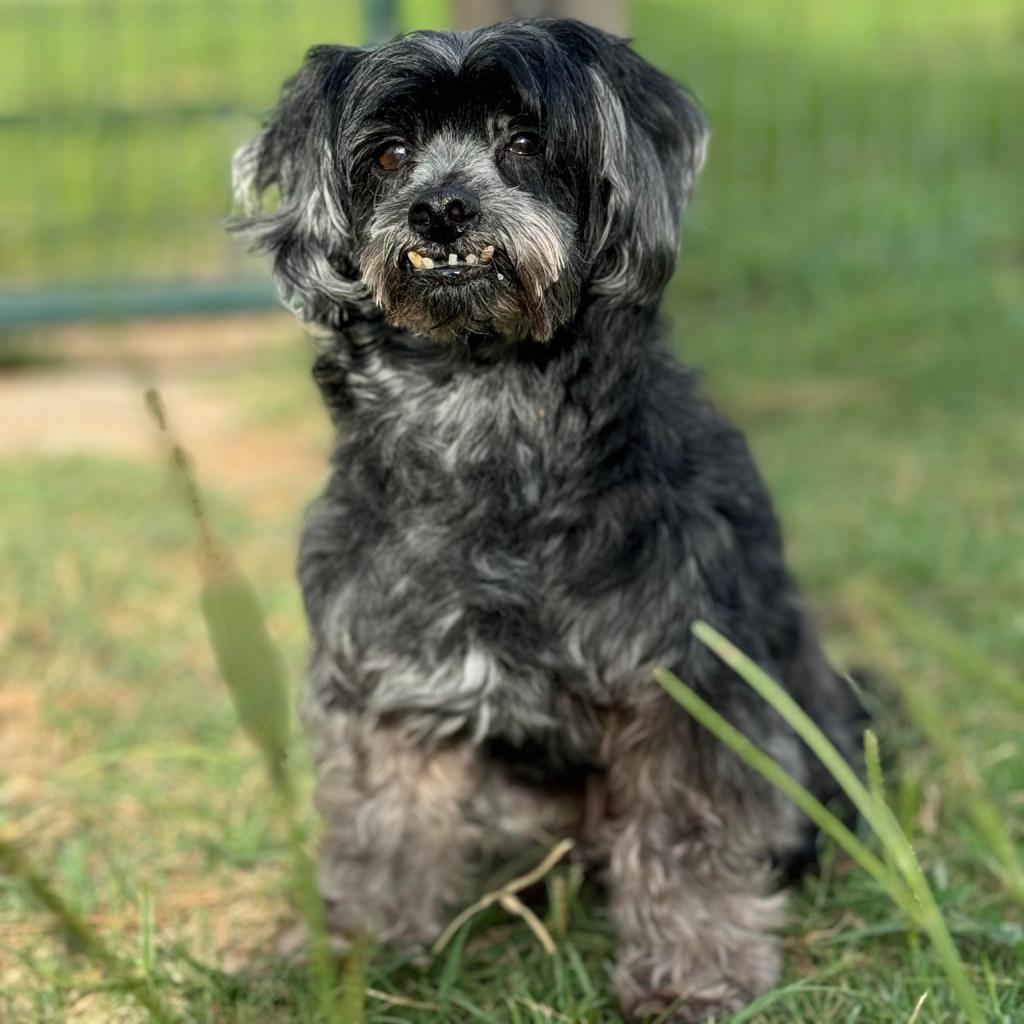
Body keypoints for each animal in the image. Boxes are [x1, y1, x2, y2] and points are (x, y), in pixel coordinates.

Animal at [232, 18, 864, 1024]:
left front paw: (694, 971)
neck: (485, 400)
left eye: (525, 142)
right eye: (390, 153)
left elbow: (689, 836)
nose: (441, 211)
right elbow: (378, 823)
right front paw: (357, 945)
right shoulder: (383, 673)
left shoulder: (685, 677)